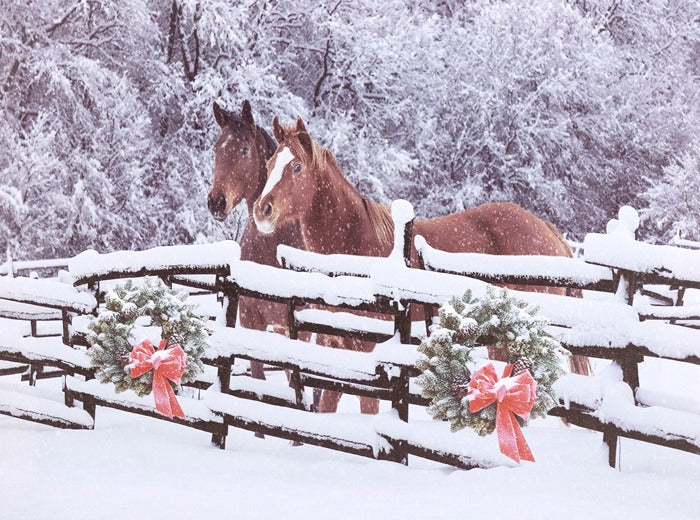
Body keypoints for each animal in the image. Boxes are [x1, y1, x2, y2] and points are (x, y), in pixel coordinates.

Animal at [252, 117, 590, 413]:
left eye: (296, 166)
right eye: (268, 165)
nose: (262, 210)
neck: (357, 249)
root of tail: (549, 231)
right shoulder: (336, 351)